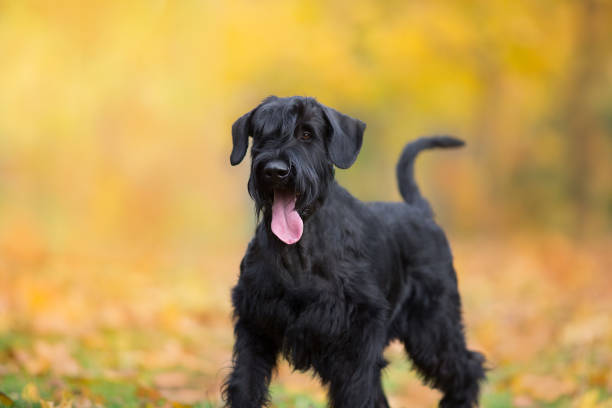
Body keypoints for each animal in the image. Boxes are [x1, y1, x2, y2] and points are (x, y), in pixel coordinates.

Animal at [222, 96, 486, 408]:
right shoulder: (255, 325)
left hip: (433, 326)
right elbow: (245, 384)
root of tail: (420, 211)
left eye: (306, 134)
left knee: (467, 367)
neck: (299, 252)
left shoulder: (357, 335)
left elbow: (358, 391)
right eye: (261, 134)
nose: (275, 170)